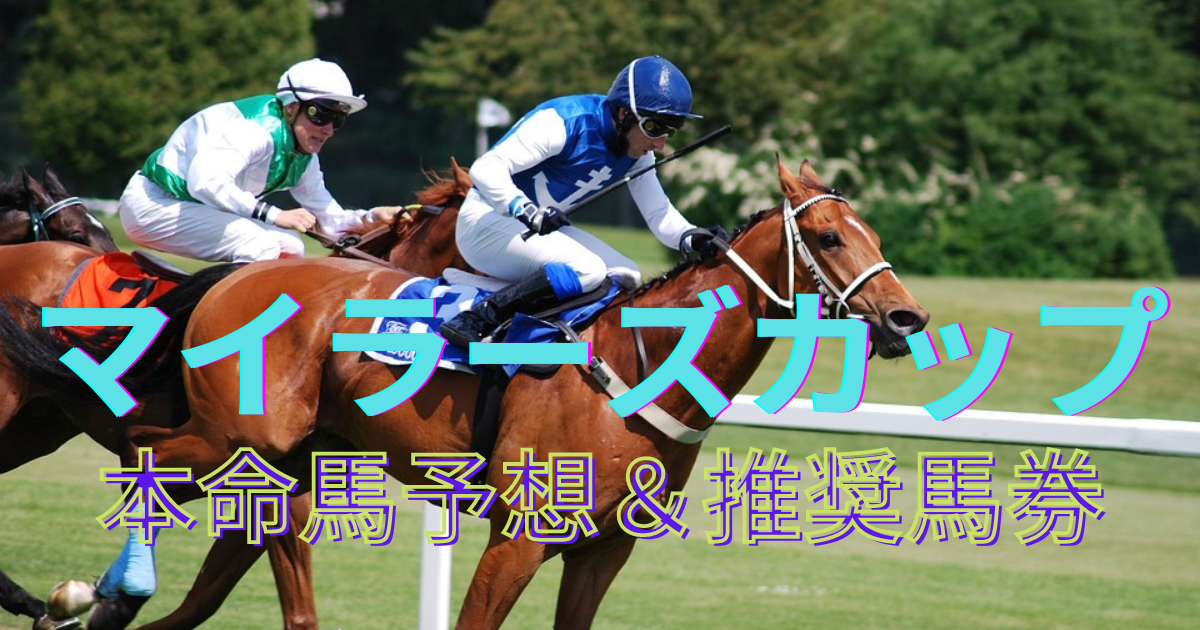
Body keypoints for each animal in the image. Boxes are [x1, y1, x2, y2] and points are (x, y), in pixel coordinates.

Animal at [111, 157, 929, 629]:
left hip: (289, 456)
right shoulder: (522, 533)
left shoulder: (606, 549)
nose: (906, 317)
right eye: (828, 237)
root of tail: (243, 271)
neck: (638, 366)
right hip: (238, 437)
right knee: (143, 455)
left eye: (873, 233)